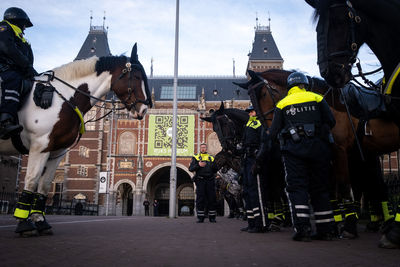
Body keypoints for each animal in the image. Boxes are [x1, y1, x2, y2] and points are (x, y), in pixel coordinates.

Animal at [0, 43, 152, 236]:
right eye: (138, 77)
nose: (145, 108)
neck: (63, 97)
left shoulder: (55, 151)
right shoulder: (40, 146)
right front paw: (25, 225)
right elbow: (32, 181)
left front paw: (40, 222)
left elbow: (43, 185)